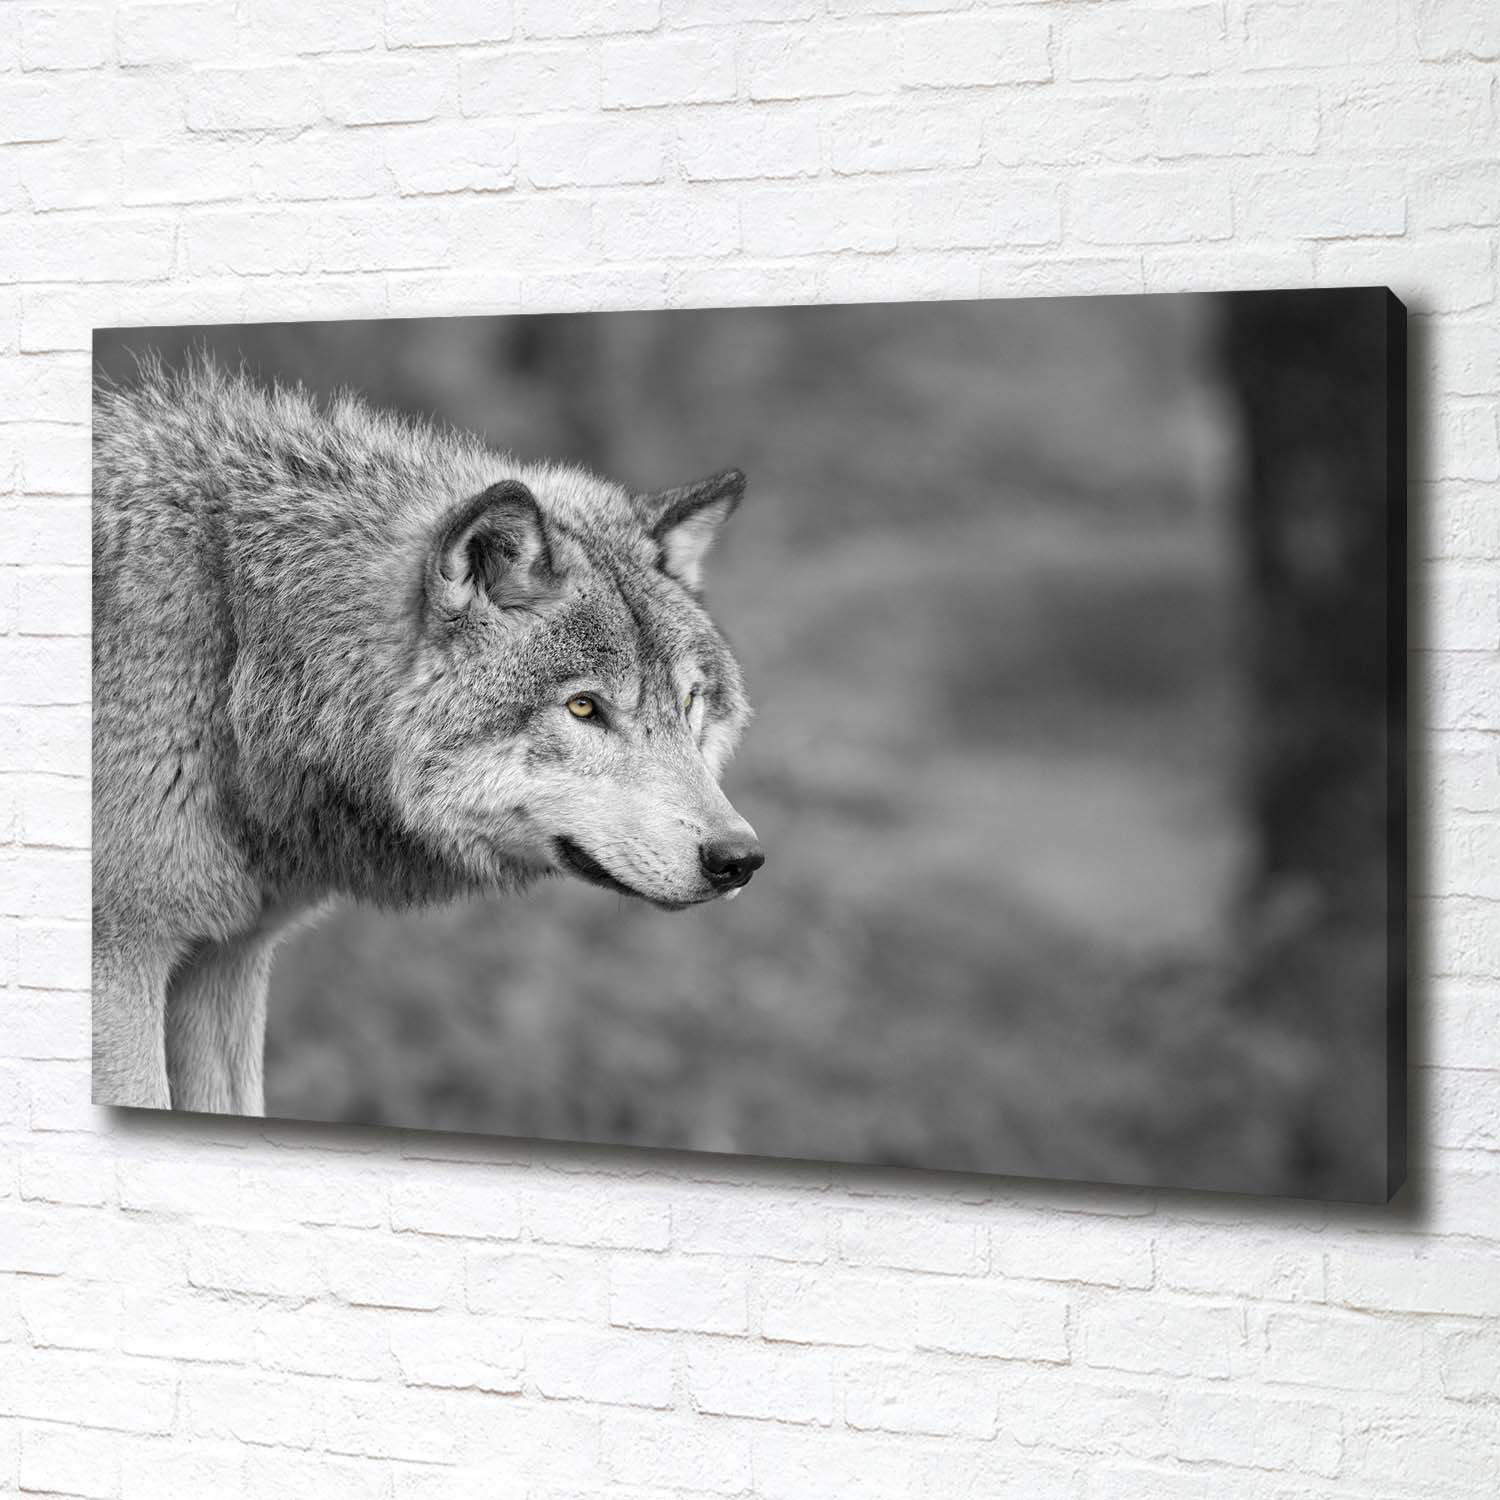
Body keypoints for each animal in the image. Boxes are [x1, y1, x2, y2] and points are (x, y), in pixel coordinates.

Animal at [92, 357, 762, 1115]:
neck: (236, 639)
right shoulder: (121, 962)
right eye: (585, 707)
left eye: (690, 702)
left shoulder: (227, 957)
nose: (739, 858)